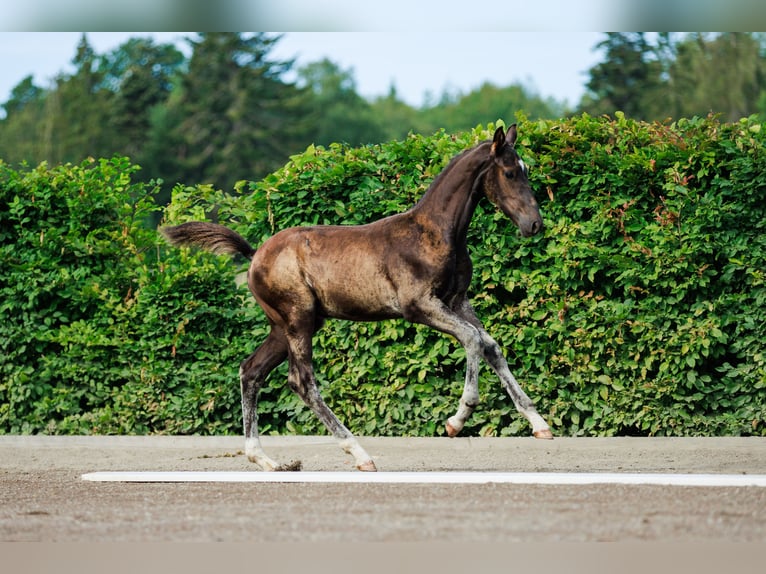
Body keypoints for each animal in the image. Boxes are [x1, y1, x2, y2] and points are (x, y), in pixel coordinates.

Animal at [165, 126, 556, 472]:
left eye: (525, 170)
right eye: (510, 172)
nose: (534, 224)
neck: (436, 232)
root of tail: (254, 255)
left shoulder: (458, 301)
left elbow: (491, 345)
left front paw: (539, 423)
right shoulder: (419, 307)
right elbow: (473, 340)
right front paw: (456, 420)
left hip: (288, 324)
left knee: (251, 371)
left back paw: (267, 460)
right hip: (298, 320)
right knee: (301, 381)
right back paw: (358, 453)